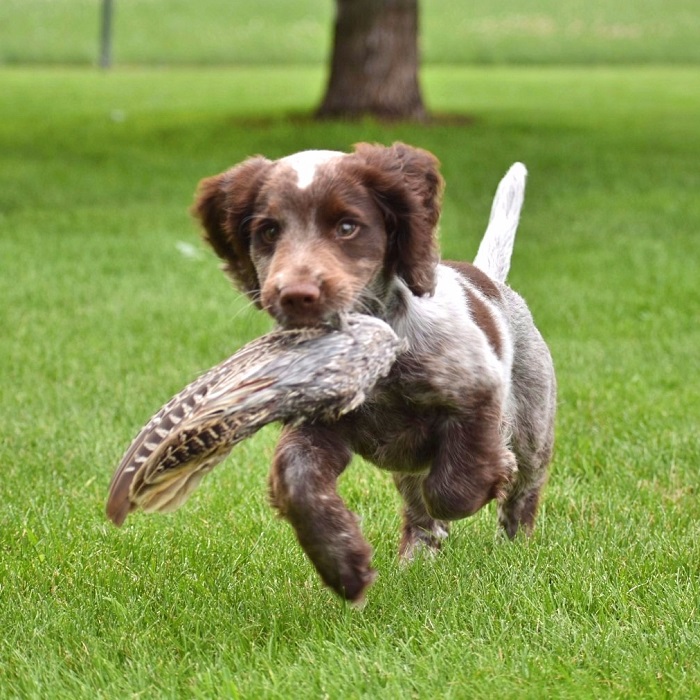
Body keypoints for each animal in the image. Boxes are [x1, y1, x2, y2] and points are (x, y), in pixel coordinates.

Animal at [194, 142, 556, 600]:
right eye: (269, 231)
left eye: (347, 226)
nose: (296, 296)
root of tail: (493, 282)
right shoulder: (318, 425)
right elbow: (298, 478)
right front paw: (342, 562)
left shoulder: (476, 391)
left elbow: (454, 486)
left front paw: (492, 475)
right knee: (417, 502)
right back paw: (417, 556)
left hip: (533, 426)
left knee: (522, 491)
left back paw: (514, 546)